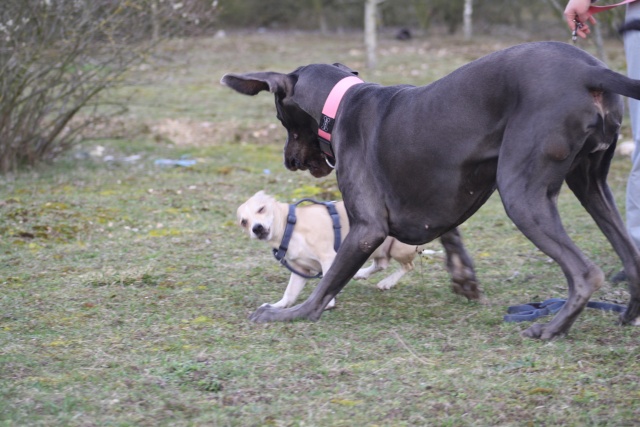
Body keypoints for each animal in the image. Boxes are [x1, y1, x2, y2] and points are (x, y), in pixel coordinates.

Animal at [236, 191, 424, 310]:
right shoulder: (300, 270)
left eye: (261, 209)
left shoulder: (328, 258)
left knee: (408, 266)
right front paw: (277, 306)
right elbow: (289, 293)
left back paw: (388, 282)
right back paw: (361, 273)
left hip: (398, 248)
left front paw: (328, 302)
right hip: (374, 246)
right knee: (381, 264)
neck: (290, 227)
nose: (257, 228)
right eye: (244, 222)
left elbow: (326, 280)